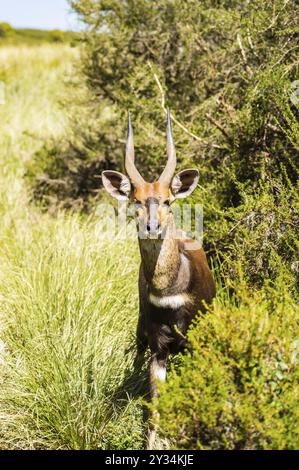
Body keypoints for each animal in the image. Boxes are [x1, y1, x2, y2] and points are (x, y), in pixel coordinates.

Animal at [102, 110, 216, 448]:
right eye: (136, 200)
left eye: (167, 201)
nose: (152, 227)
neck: (171, 291)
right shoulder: (158, 346)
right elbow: (154, 411)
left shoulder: (194, 341)